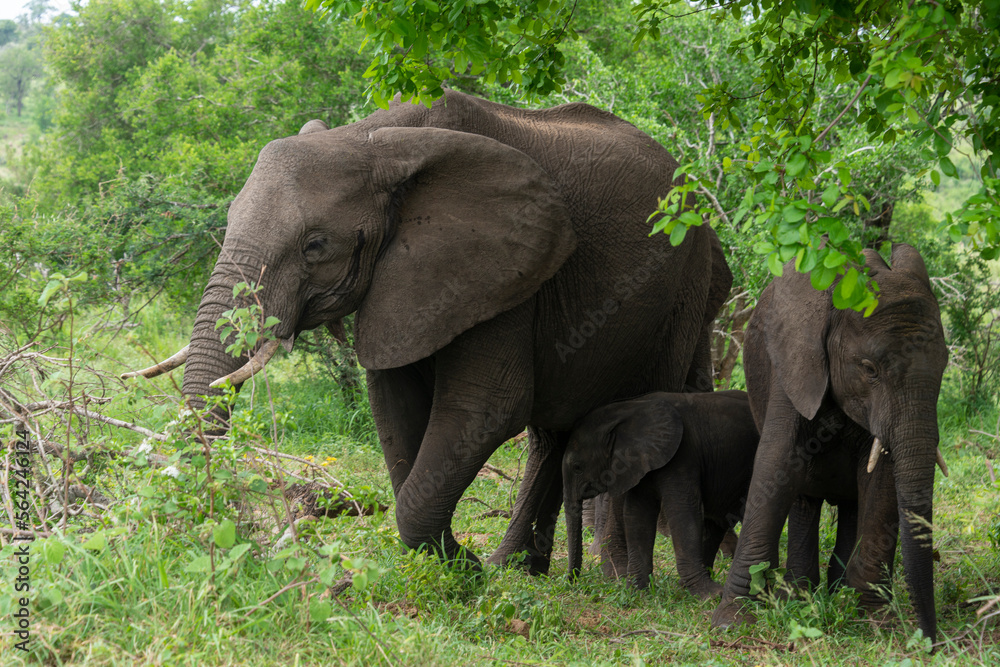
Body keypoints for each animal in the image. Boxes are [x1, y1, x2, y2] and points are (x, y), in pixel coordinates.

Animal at [129, 88, 732, 568]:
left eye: (315, 245)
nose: (236, 530)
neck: (375, 140)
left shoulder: (506, 271)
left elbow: (485, 409)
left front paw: (461, 568)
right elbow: (393, 404)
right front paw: (453, 562)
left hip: (685, 281)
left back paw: (614, 576)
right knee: (553, 434)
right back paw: (517, 566)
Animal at [564, 388, 756, 596]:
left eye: (577, 467)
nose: (571, 581)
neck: (627, 409)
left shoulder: (683, 455)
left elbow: (682, 513)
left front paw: (711, 596)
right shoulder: (642, 463)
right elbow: (637, 515)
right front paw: (636, 591)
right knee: (716, 524)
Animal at [712, 244, 944, 640]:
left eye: (944, 365)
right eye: (869, 369)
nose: (931, 640)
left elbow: (881, 479)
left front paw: (874, 621)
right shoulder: (794, 366)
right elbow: (777, 465)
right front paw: (733, 620)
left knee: (849, 503)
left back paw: (835, 594)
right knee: (803, 498)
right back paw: (801, 595)